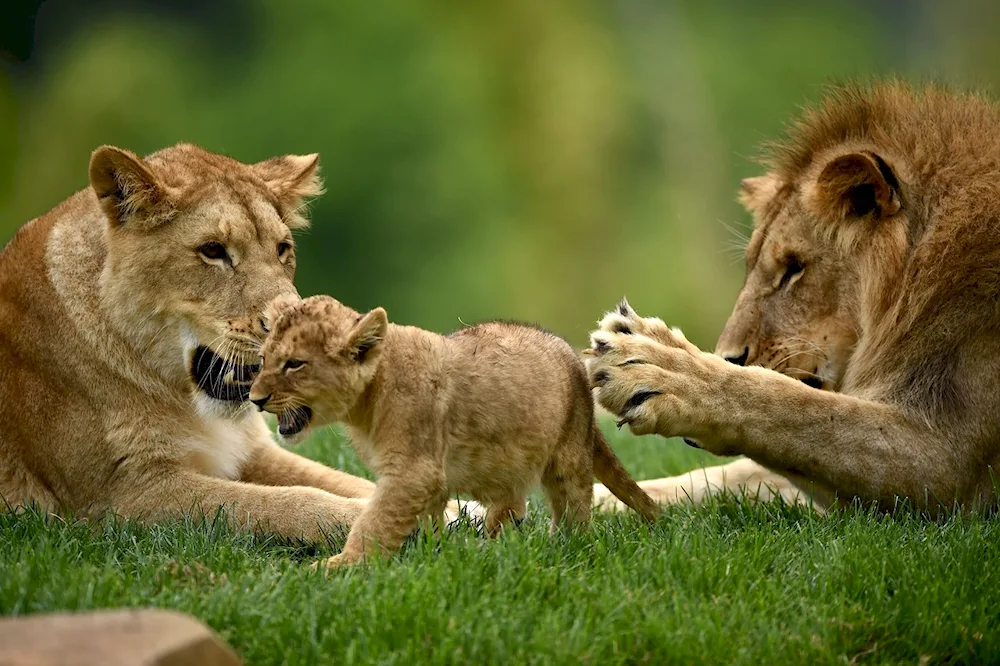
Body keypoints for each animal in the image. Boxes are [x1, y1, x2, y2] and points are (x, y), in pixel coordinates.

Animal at [0, 143, 388, 536]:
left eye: (282, 248)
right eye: (213, 250)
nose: (291, 327)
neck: (185, 399)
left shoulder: (251, 450)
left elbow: (348, 481)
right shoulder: (116, 498)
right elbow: (275, 504)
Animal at [588, 81, 1000, 508]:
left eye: (793, 268)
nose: (729, 356)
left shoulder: (946, 461)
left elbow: (793, 410)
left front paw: (663, 366)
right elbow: (730, 472)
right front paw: (603, 497)